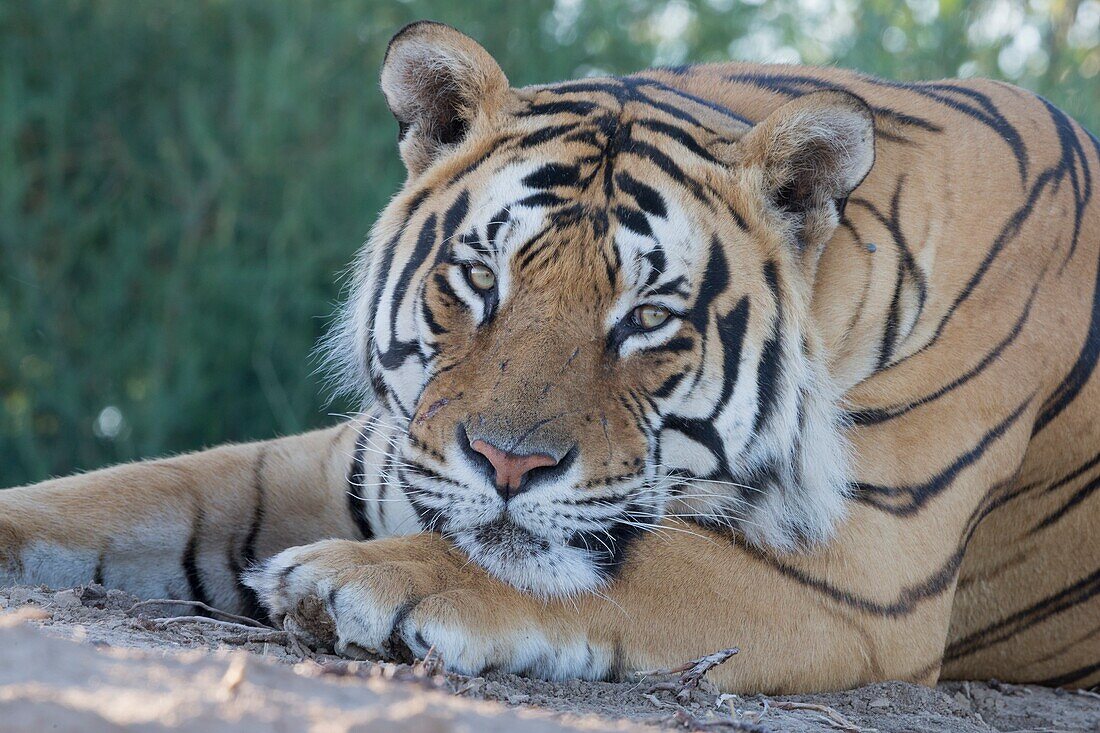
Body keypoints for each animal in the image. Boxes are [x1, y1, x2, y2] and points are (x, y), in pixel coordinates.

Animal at [2, 18, 1100, 691]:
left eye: (646, 318)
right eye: (480, 279)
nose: (507, 463)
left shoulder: (856, 576)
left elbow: (604, 569)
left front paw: (352, 581)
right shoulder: (347, 456)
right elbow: (114, 493)